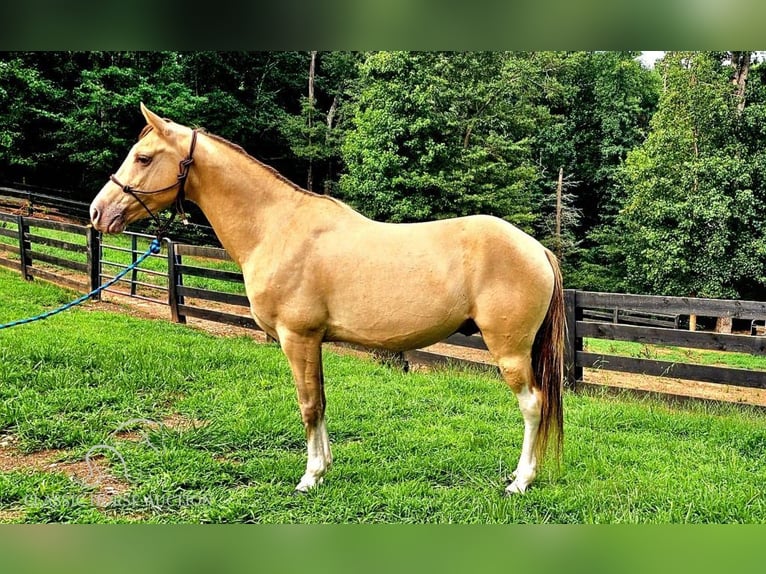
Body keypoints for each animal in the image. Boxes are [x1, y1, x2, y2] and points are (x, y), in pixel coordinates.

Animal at [91, 106, 568, 498]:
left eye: (144, 158)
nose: (98, 212)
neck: (277, 227)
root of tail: (537, 249)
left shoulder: (296, 337)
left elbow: (307, 404)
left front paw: (310, 477)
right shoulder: (313, 341)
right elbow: (320, 401)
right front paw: (325, 468)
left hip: (510, 352)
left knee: (533, 405)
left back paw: (520, 482)